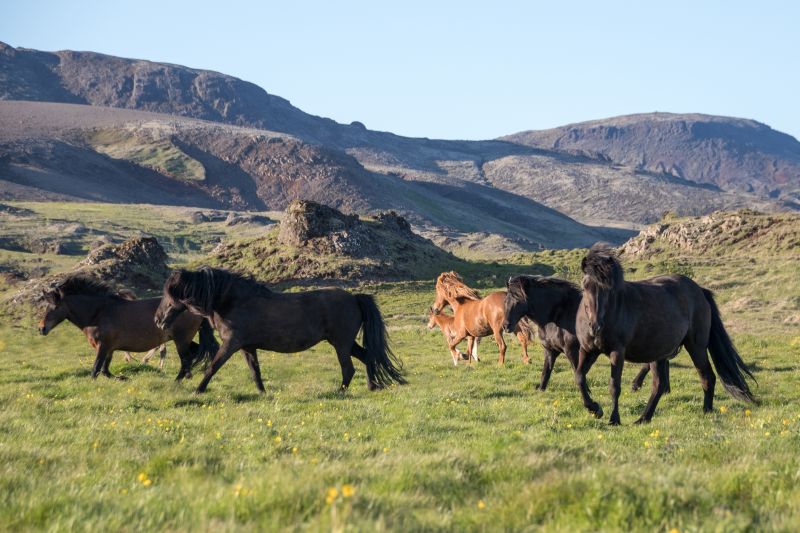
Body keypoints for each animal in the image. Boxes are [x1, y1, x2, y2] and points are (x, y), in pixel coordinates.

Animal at [38, 274, 216, 378]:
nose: (41, 328)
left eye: (54, 306)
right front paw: (123, 377)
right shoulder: (109, 348)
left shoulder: (103, 346)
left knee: (186, 359)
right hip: (183, 339)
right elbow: (106, 371)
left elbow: (96, 370)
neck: (99, 312)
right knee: (193, 355)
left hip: (181, 339)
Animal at [154, 268, 410, 392]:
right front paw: (263, 394)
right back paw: (372, 386)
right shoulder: (247, 347)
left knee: (348, 369)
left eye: (169, 294)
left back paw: (340, 392)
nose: (158, 320)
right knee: (367, 357)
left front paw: (198, 390)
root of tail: (355, 298)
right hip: (345, 343)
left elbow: (212, 367)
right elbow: (255, 372)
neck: (232, 301)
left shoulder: (231, 344)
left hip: (341, 344)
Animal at [500, 274, 664, 390]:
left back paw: (637, 384)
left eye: (518, 299)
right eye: (506, 300)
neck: (558, 315)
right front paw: (541, 389)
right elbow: (546, 373)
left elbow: (577, 371)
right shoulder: (550, 350)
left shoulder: (572, 350)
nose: (506, 326)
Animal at [572, 244, 752, 424]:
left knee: (707, 377)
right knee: (659, 385)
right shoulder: (587, 350)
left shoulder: (617, 352)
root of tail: (699, 291)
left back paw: (706, 410)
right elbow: (579, 377)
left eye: (608, 290)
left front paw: (614, 419)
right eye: (585, 286)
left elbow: (614, 386)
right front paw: (594, 409)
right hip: (658, 353)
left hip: (696, 347)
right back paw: (644, 418)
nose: (595, 326)